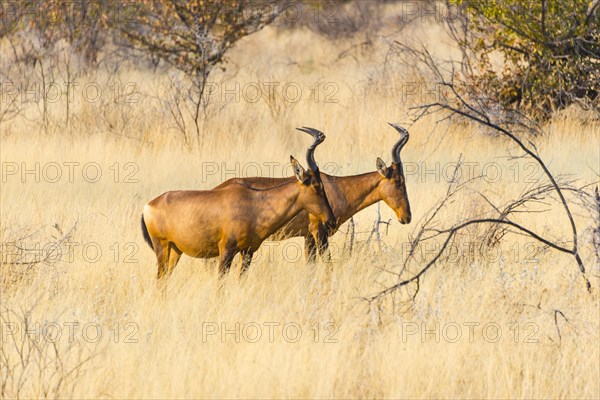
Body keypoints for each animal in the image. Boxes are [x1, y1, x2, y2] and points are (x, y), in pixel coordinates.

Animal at [142, 130, 336, 280]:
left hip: (175, 250)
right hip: (161, 247)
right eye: (317, 186)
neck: (254, 202)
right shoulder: (226, 250)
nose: (331, 220)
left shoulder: (248, 251)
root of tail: (148, 206)